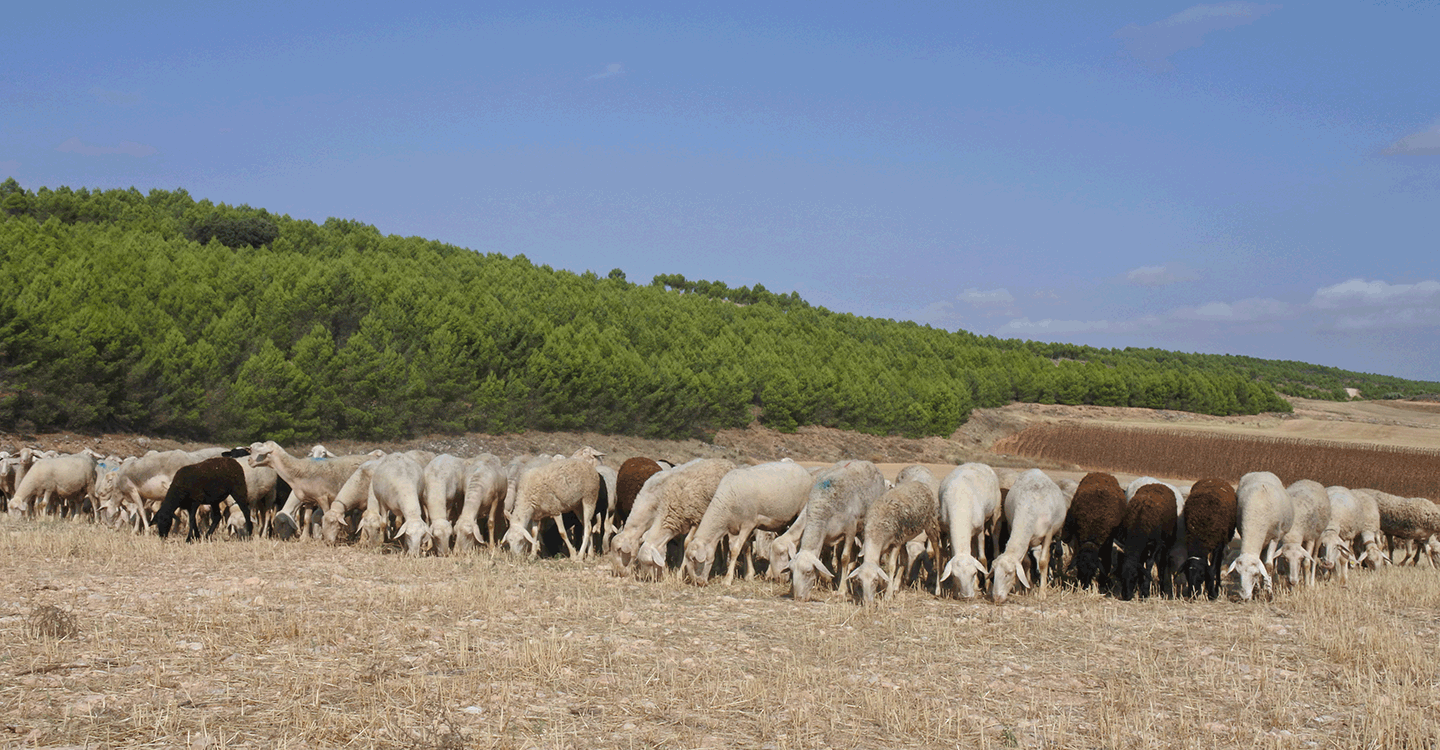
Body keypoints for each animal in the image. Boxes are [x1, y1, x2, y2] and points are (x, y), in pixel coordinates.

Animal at [682, 454, 817, 584]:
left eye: (694, 559)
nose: (698, 583)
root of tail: (802, 469)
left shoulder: (748, 523)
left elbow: (735, 550)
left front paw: (727, 580)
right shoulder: (743, 527)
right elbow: (746, 548)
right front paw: (749, 575)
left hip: (799, 511)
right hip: (783, 520)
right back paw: (771, 573)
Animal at [783, 454, 881, 601]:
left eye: (808, 572)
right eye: (792, 570)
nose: (798, 598)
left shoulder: (850, 530)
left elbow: (844, 558)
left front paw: (842, 590)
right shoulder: (827, 534)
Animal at [933, 460, 1002, 595]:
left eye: (974, 573)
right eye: (954, 576)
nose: (967, 596)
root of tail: (976, 463)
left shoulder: (980, 530)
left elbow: (982, 559)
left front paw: (987, 587)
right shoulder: (949, 529)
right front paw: (954, 590)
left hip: (995, 512)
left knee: (995, 534)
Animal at [990, 466, 1071, 601]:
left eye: (1009, 573)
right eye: (994, 573)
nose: (996, 598)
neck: (1028, 512)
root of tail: (1035, 470)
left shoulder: (1048, 534)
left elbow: (1043, 562)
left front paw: (1042, 593)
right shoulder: (1019, 532)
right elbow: (1026, 562)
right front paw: (1026, 588)